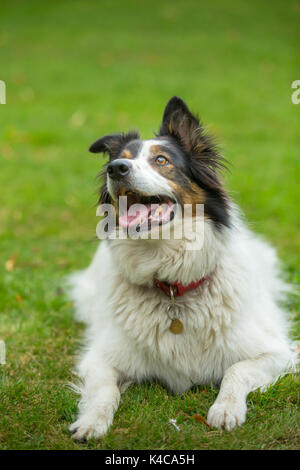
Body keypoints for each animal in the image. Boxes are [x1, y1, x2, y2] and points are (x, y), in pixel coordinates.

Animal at [67, 95, 292, 440]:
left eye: (161, 160)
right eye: (120, 160)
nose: (115, 169)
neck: (171, 283)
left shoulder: (278, 352)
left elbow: (236, 370)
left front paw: (225, 409)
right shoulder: (99, 358)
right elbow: (105, 390)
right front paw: (92, 420)